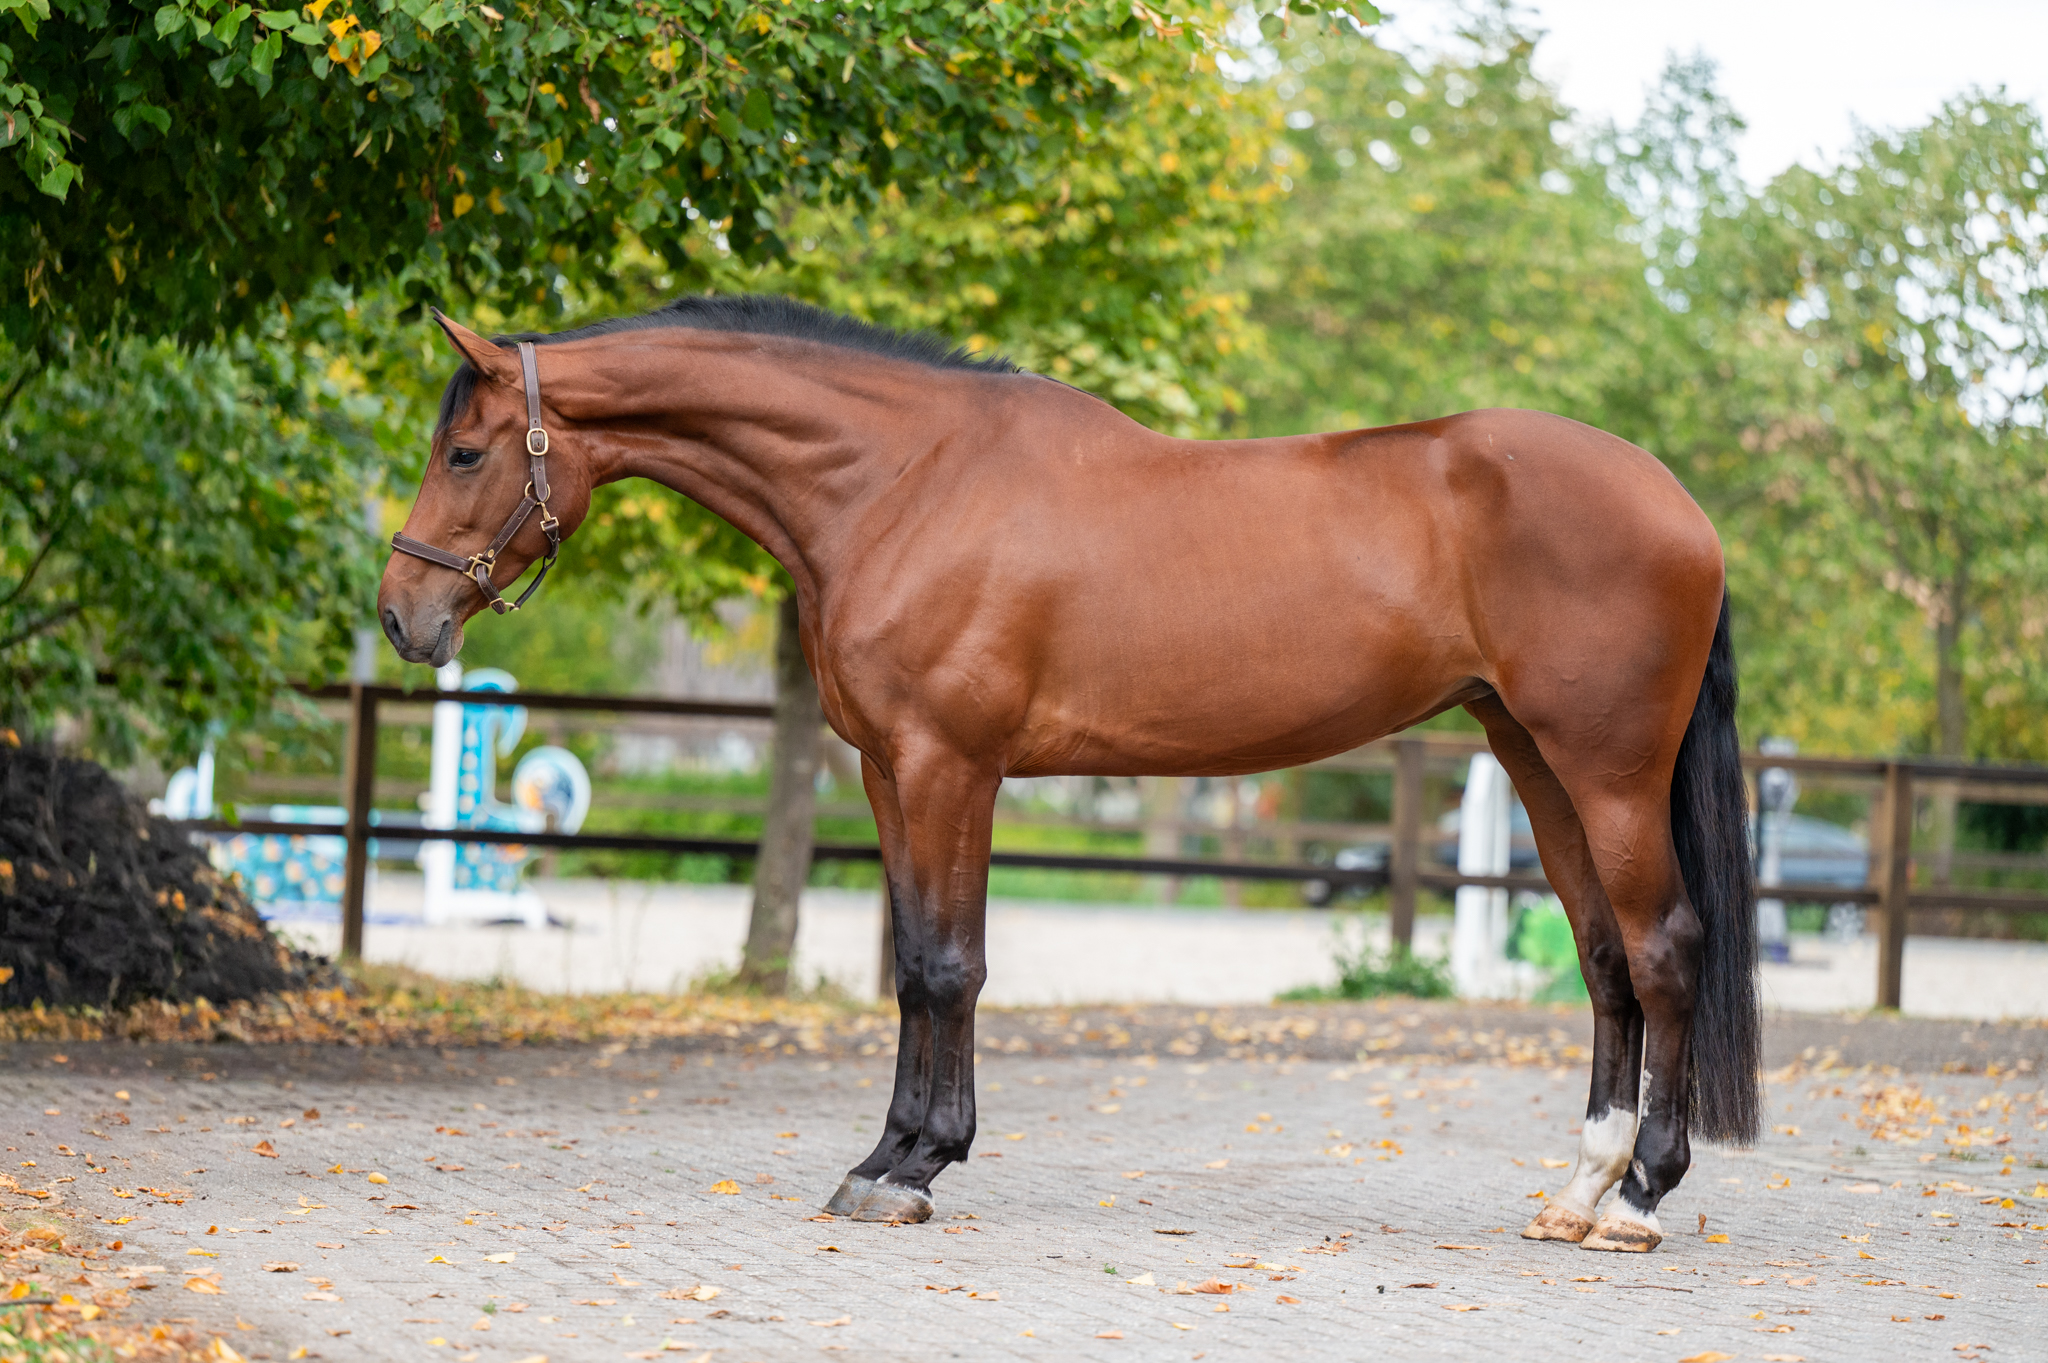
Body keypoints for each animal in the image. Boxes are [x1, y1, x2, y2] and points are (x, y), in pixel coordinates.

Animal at [377, 294, 1759, 1253]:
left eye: (464, 453)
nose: (402, 615)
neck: (899, 482)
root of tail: (1682, 506)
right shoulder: (887, 771)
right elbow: (914, 962)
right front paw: (887, 1155)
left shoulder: (950, 765)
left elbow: (946, 964)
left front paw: (912, 1169)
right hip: (1530, 754)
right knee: (1603, 959)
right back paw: (1575, 1189)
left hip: (1605, 766)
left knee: (1663, 948)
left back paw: (1637, 1198)